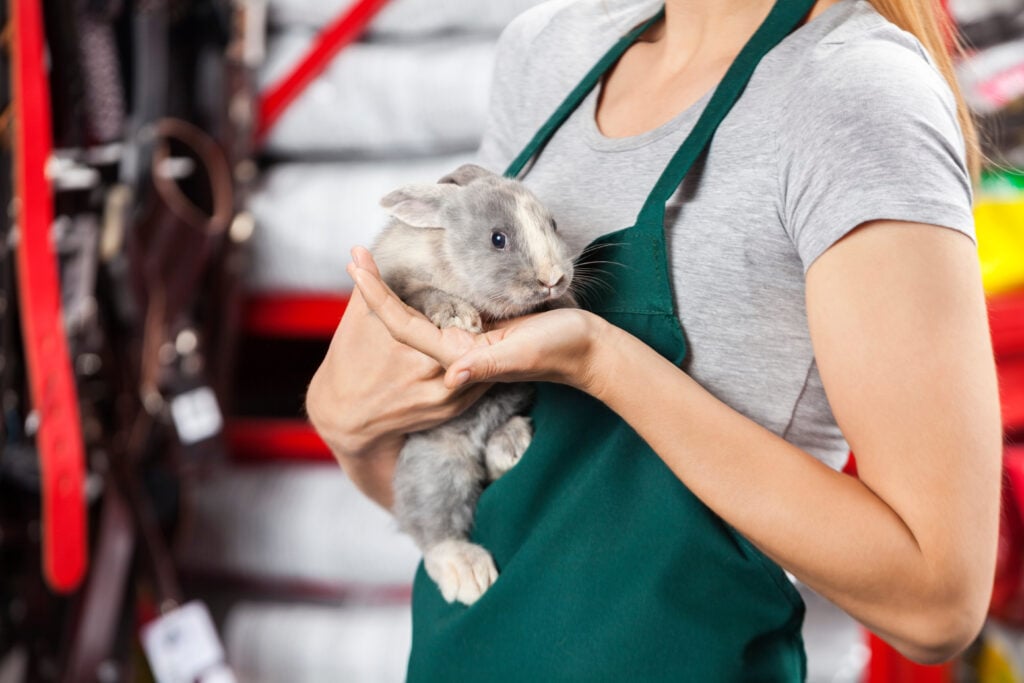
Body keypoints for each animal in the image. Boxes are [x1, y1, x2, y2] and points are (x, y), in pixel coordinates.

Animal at [372, 162, 577, 606]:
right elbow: (424, 295)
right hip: (436, 465)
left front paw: (565, 303)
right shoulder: (405, 284)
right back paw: (467, 573)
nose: (553, 278)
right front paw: (458, 316)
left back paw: (510, 449)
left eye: (553, 224)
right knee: (433, 528)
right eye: (498, 239)